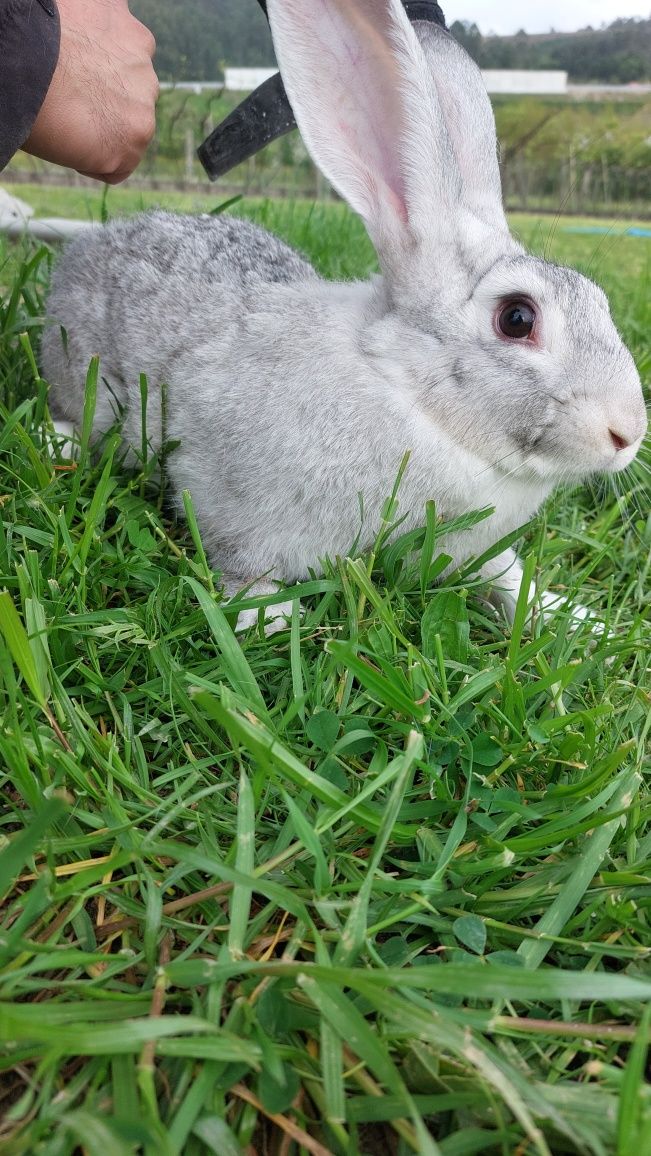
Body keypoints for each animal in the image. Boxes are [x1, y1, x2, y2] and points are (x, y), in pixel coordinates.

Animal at [41, 0, 647, 633]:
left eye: (599, 299)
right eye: (518, 319)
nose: (627, 434)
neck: (410, 394)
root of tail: (91, 245)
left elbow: (505, 577)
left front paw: (576, 618)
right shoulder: (227, 499)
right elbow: (243, 561)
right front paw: (272, 621)